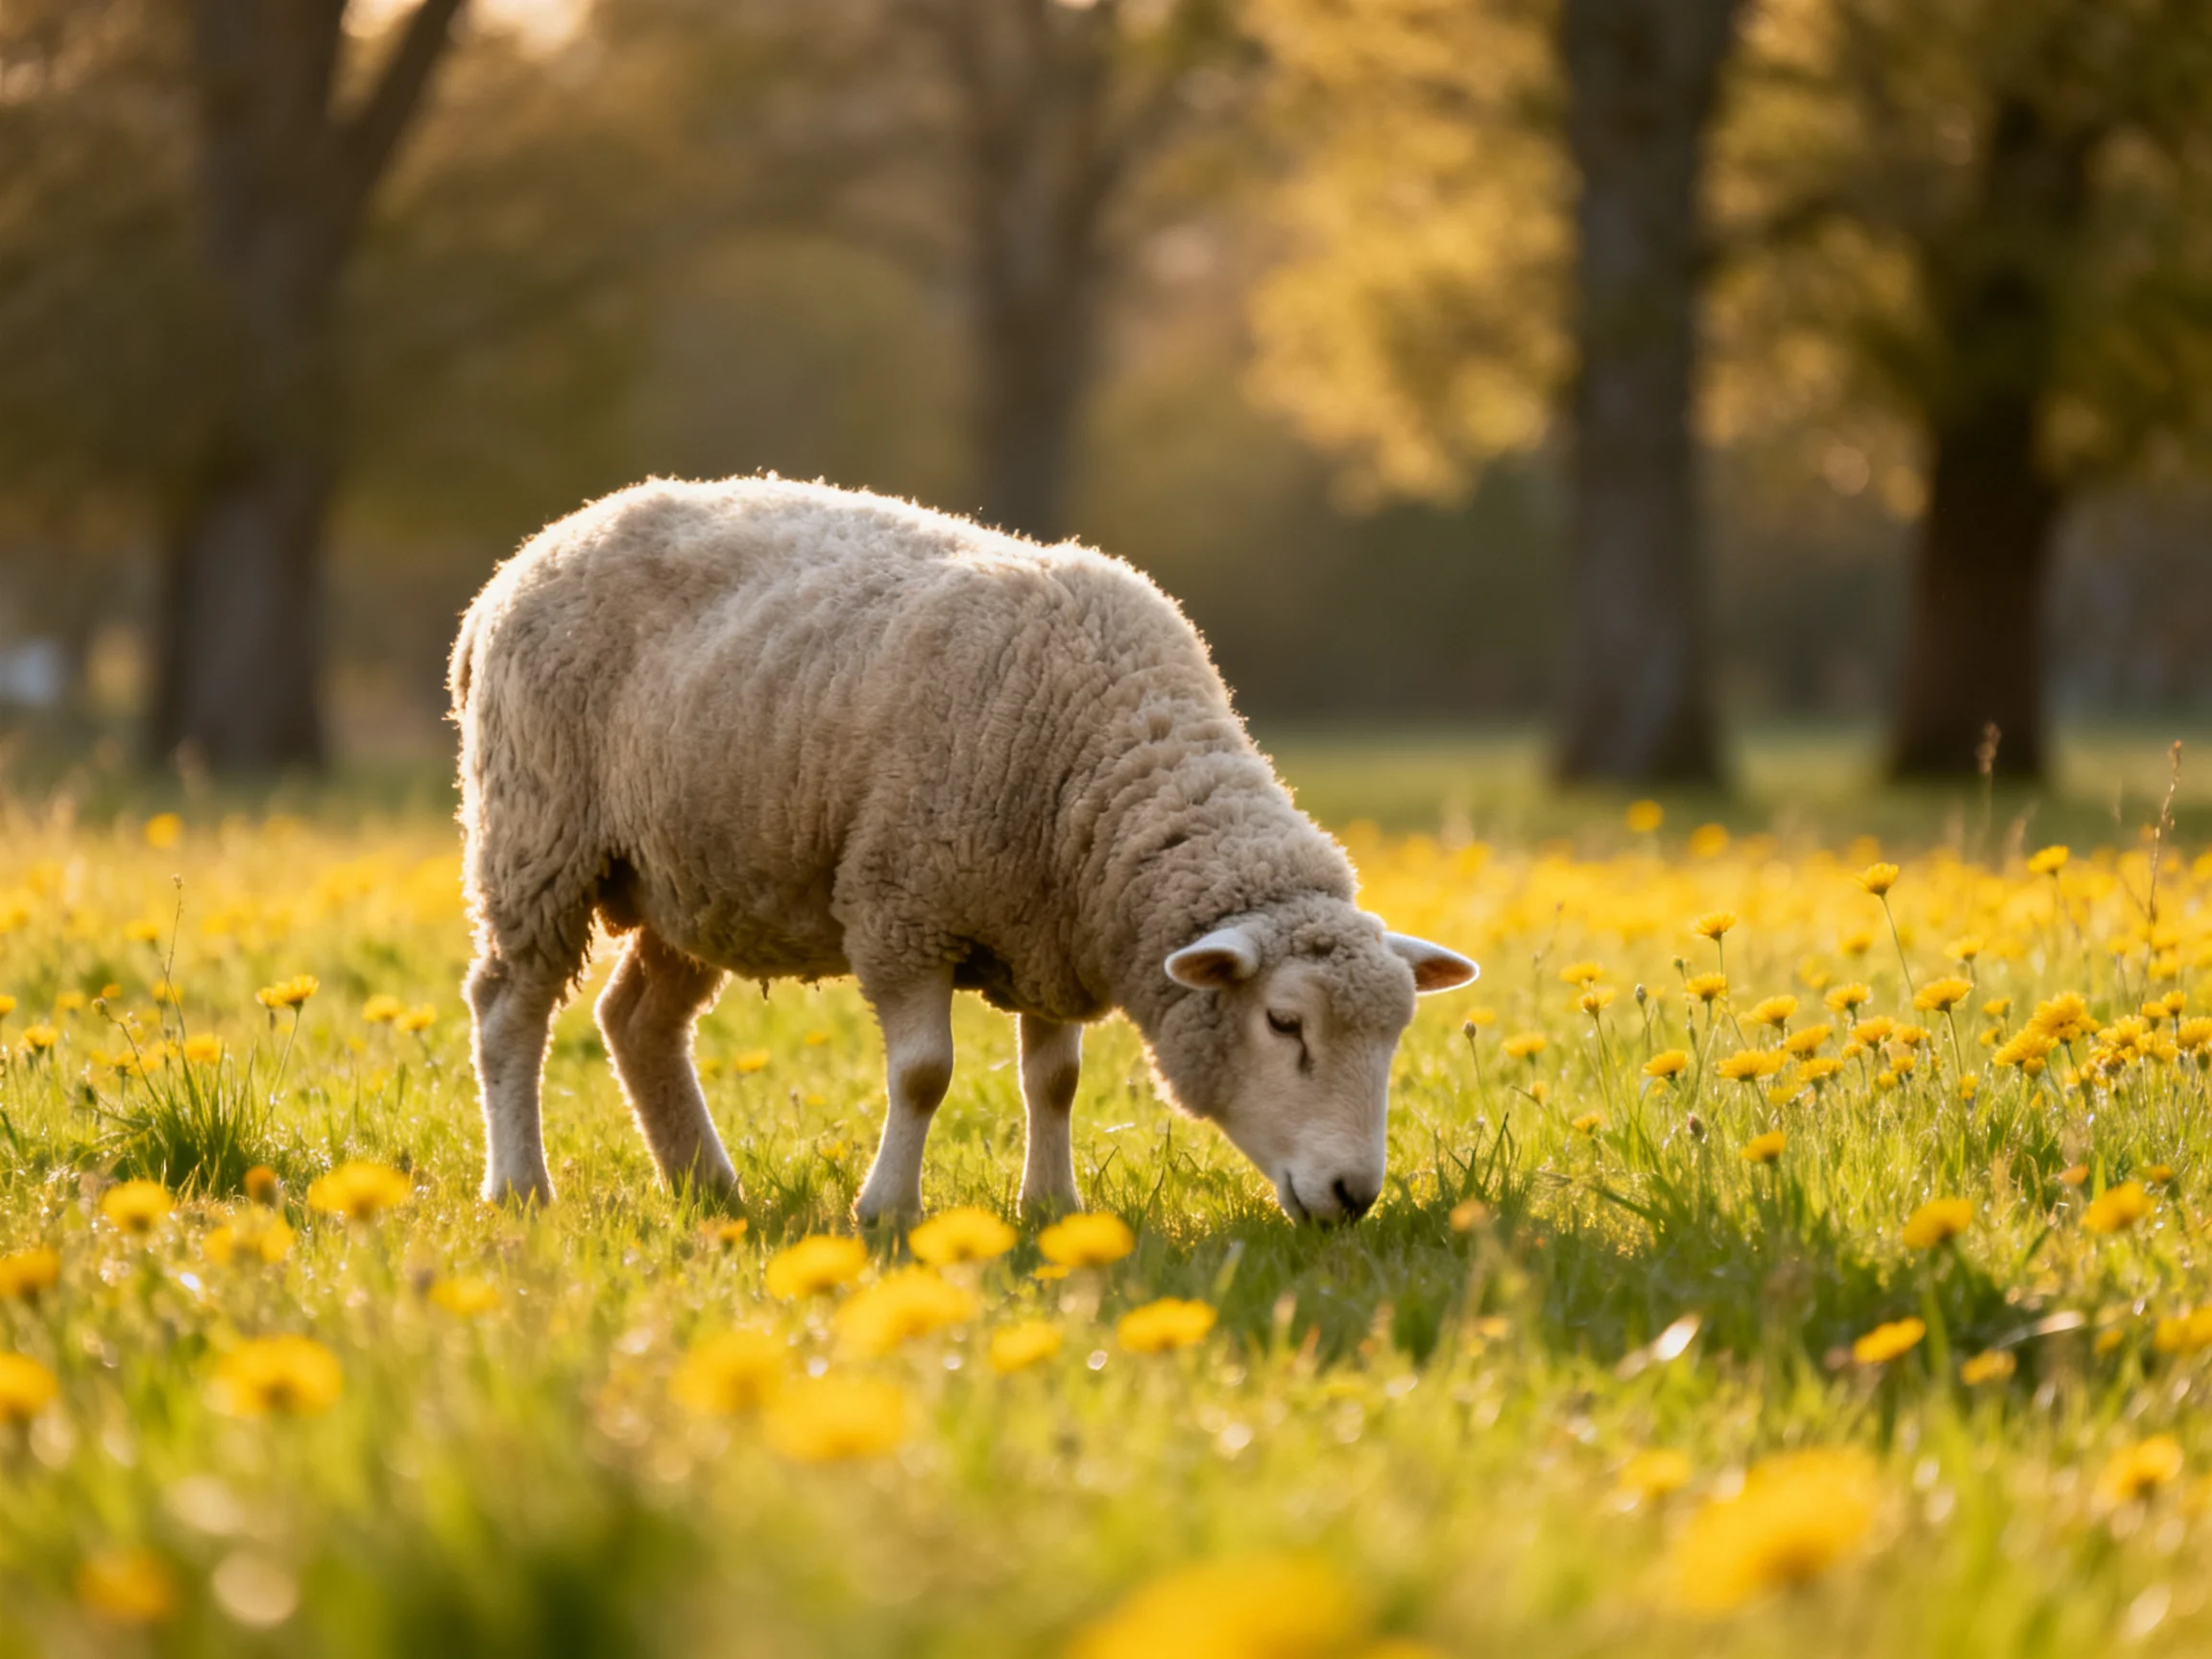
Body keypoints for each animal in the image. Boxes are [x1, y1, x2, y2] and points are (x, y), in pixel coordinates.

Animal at [449, 476, 1476, 1225]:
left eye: (1394, 1036)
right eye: (1285, 1024)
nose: (1354, 1196)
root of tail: (524, 558)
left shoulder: (1054, 932)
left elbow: (1055, 1082)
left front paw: (1052, 1208)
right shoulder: (902, 907)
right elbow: (924, 1074)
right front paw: (886, 1213)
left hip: (694, 880)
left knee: (638, 1024)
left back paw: (709, 1187)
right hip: (538, 834)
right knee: (508, 1009)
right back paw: (521, 1188)